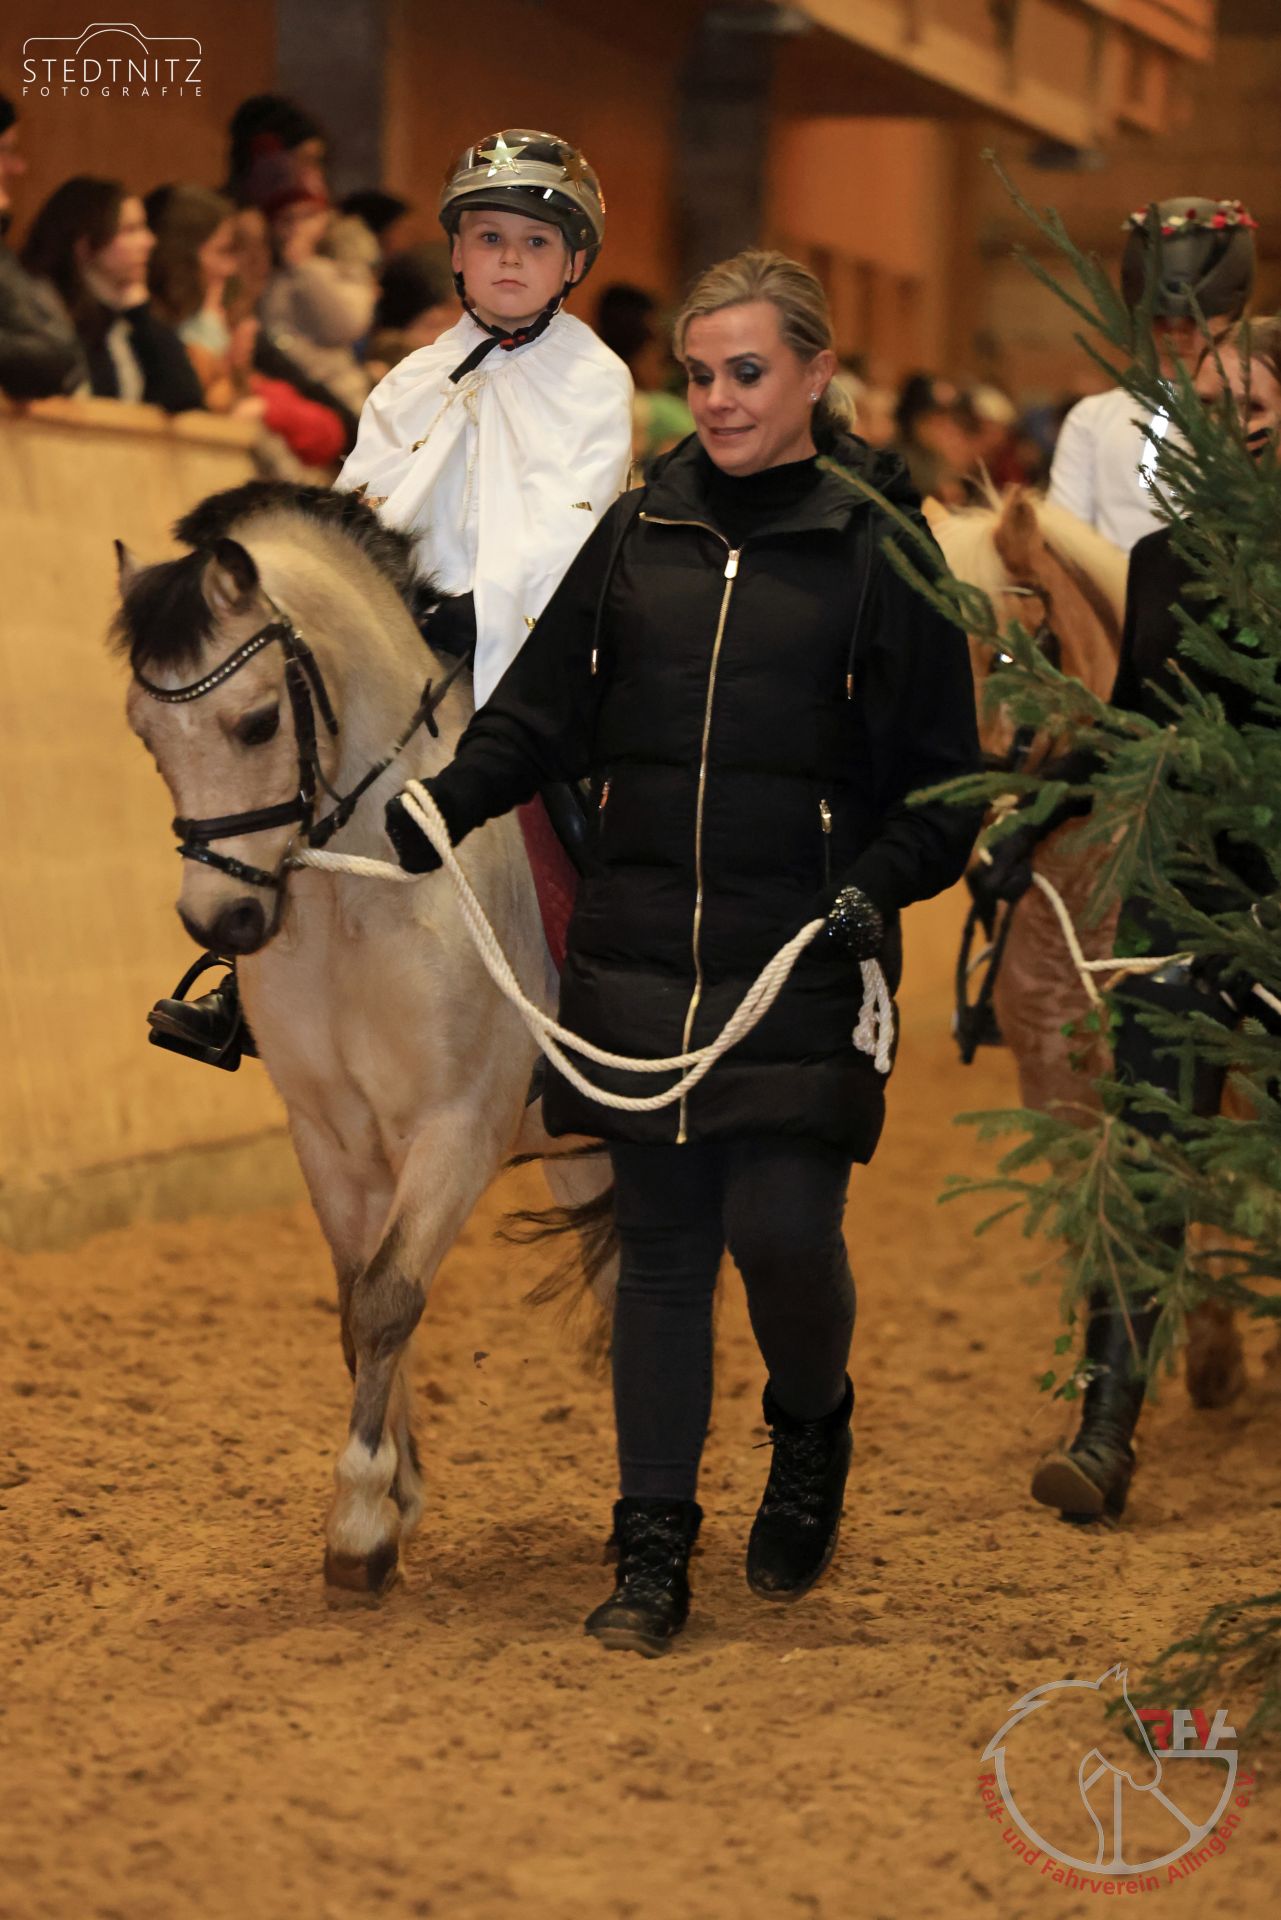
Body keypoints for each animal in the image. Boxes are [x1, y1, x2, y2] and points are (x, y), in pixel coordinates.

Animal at [112, 481, 614, 1595]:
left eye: (257, 722)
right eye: (146, 738)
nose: (223, 921)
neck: (367, 886)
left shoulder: (456, 1128)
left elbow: (390, 1297)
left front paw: (357, 1520)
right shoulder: (331, 1138)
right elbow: (354, 1307)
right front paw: (394, 1498)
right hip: (580, 1150)